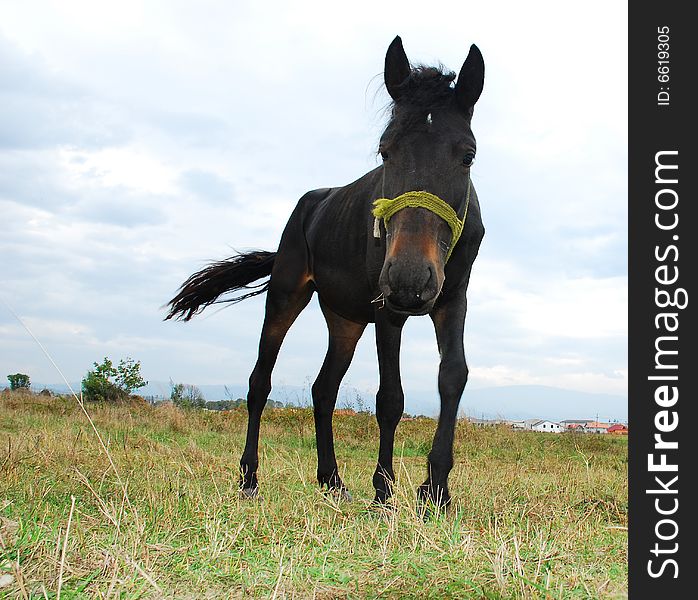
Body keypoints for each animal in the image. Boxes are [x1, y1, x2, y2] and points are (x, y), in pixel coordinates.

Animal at [165, 35, 482, 508]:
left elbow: (452, 377)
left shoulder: (452, 299)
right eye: (385, 151)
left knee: (323, 389)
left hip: (346, 320)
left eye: (468, 157)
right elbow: (390, 397)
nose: (410, 279)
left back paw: (332, 480)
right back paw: (249, 478)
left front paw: (436, 490)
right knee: (260, 383)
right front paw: (383, 491)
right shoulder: (387, 311)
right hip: (285, 296)